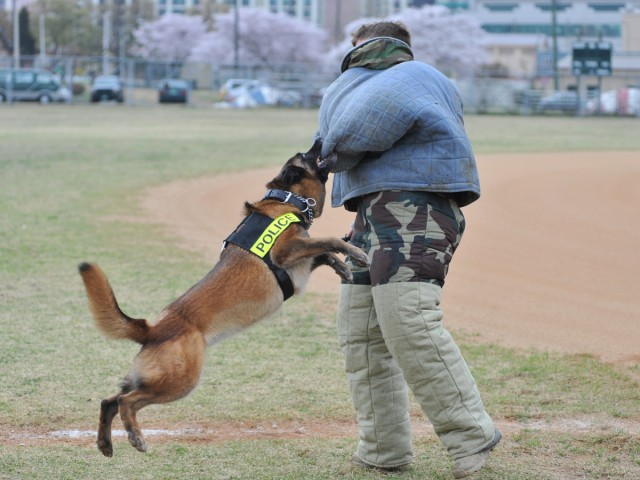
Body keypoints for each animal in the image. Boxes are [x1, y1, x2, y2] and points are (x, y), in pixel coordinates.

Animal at [79, 140, 370, 458]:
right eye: (307, 154)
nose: (319, 141)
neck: (287, 200)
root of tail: (152, 330)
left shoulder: (299, 262)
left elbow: (323, 252)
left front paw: (342, 265)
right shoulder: (286, 251)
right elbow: (329, 240)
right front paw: (354, 252)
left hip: (149, 378)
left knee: (109, 400)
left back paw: (105, 443)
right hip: (179, 381)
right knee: (125, 402)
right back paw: (135, 436)